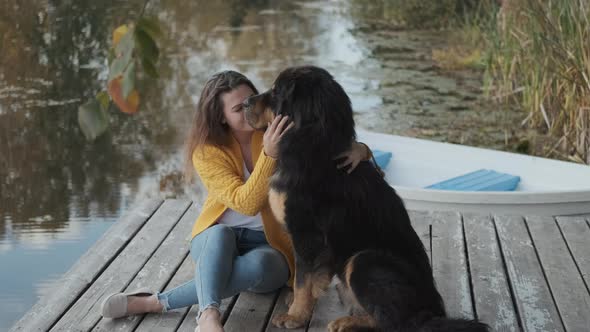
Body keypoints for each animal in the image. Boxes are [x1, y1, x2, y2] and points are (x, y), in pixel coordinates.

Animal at [243, 66, 488, 330]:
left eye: (276, 92)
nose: (245, 103)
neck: (315, 147)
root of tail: (432, 312)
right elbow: (311, 278)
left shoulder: (307, 234)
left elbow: (302, 280)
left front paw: (295, 316)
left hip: (364, 261)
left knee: (396, 321)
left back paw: (346, 322)